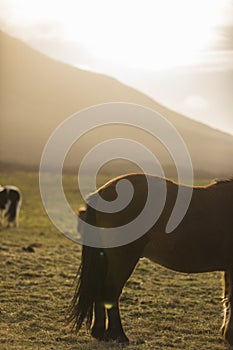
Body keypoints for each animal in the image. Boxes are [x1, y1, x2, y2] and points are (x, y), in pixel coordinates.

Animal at [68, 174, 233, 346]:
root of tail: (102, 192)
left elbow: (227, 298)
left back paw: (100, 333)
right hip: (124, 259)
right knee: (110, 291)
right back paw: (119, 335)